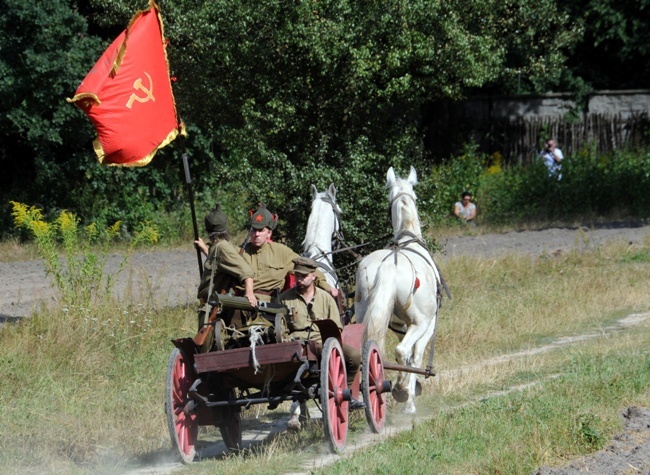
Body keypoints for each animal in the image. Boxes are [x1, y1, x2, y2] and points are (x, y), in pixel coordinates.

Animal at [354, 168, 440, 416]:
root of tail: (389, 266)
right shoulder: (427, 325)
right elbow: (415, 357)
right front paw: (409, 399)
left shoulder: (400, 326)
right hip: (421, 323)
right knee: (402, 351)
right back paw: (401, 390)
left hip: (363, 315)